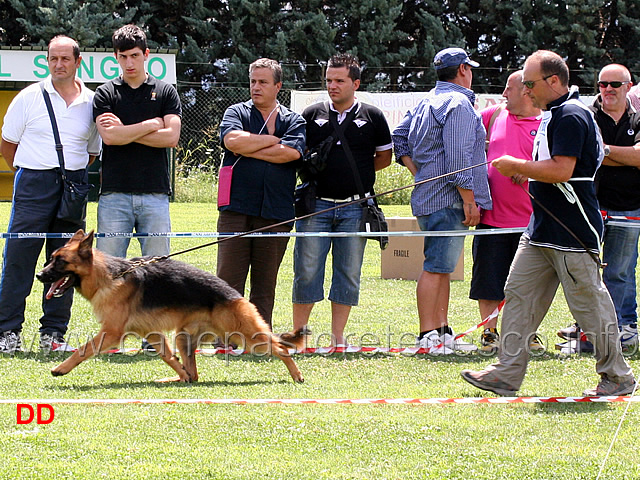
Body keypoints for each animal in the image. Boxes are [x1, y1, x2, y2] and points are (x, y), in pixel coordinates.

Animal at [35, 231, 304, 384]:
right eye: (50, 260)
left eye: (60, 262)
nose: (39, 275)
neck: (109, 276)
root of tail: (236, 295)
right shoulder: (152, 334)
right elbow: (168, 357)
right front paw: (180, 375)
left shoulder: (111, 332)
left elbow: (83, 349)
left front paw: (60, 368)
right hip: (184, 338)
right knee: (194, 373)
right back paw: (176, 379)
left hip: (245, 335)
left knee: (282, 348)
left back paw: (296, 375)